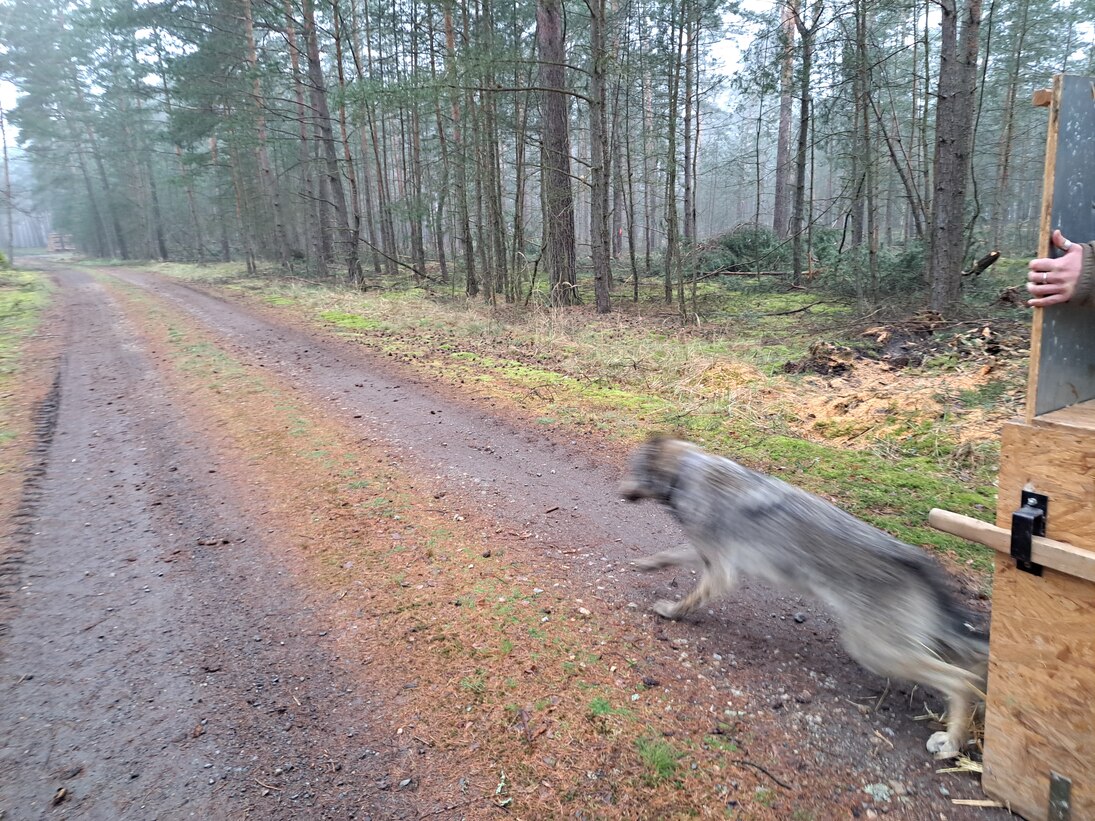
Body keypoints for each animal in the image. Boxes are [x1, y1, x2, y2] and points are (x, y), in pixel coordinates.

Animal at [621, 437, 989, 757]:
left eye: (632, 468)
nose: (621, 493)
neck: (685, 472)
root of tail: (918, 562)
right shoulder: (707, 556)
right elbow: (670, 554)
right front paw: (650, 564)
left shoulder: (720, 570)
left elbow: (688, 597)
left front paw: (671, 611)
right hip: (910, 641)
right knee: (971, 663)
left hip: (877, 650)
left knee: (962, 681)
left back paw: (952, 742)